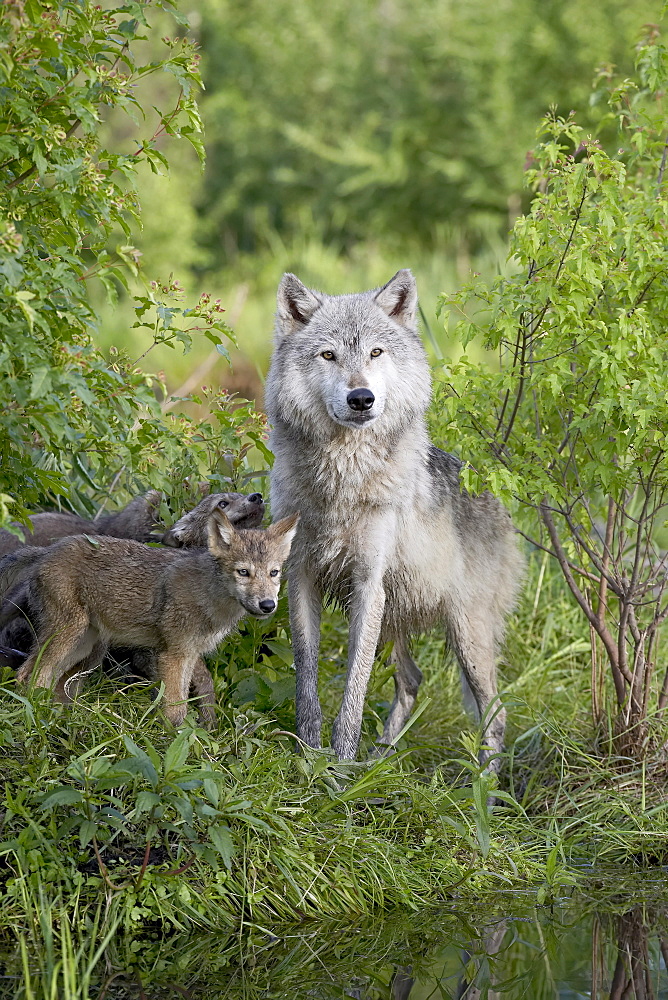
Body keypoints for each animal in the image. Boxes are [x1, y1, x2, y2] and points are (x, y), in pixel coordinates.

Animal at [7, 512, 298, 724]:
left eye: (273, 573)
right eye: (243, 572)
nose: (268, 605)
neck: (210, 599)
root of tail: (46, 551)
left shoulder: (189, 655)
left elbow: (183, 702)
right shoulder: (173, 656)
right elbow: (175, 710)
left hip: (83, 646)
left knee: (45, 679)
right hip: (69, 636)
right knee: (30, 675)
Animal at [264, 270, 520, 768]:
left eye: (376, 353)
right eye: (329, 355)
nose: (361, 398)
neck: (343, 480)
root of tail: (496, 497)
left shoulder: (368, 584)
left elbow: (354, 689)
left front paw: (341, 766)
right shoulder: (300, 576)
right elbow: (307, 675)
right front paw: (310, 753)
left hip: (465, 636)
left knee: (495, 714)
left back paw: (483, 786)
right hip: (395, 621)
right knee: (412, 681)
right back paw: (382, 758)